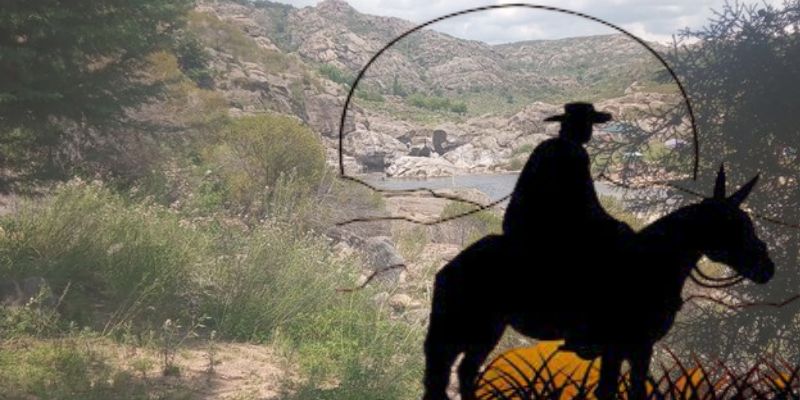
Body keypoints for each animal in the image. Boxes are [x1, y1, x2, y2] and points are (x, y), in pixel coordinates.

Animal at [422, 167, 774, 400]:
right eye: (734, 225)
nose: (767, 268)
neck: (653, 264)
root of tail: (449, 268)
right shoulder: (627, 346)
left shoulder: (632, 349)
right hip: (469, 328)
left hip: (486, 331)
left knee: (464, 372)